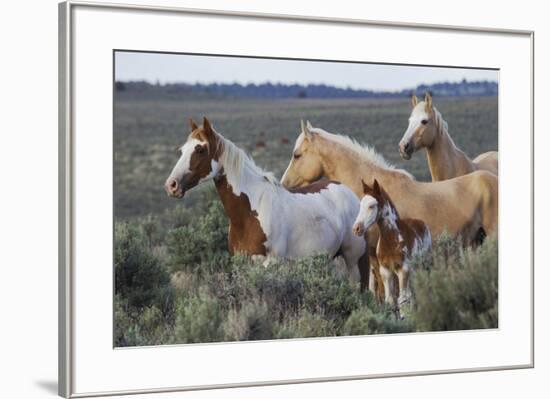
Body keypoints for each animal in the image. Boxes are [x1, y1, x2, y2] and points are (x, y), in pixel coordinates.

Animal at [164, 118, 370, 290]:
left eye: (200, 149)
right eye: (182, 150)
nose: (171, 185)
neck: (250, 213)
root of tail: (349, 193)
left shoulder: (270, 263)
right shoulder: (243, 264)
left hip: (353, 260)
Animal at [356, 179, 434, 312]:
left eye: (371, 206)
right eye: (360, 205)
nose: (356, 228)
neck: (391, 241)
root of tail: (421, 222)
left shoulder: (403, 269)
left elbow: (402, 300)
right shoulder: (385, 271)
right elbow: (390, 301)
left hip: (424, 266)